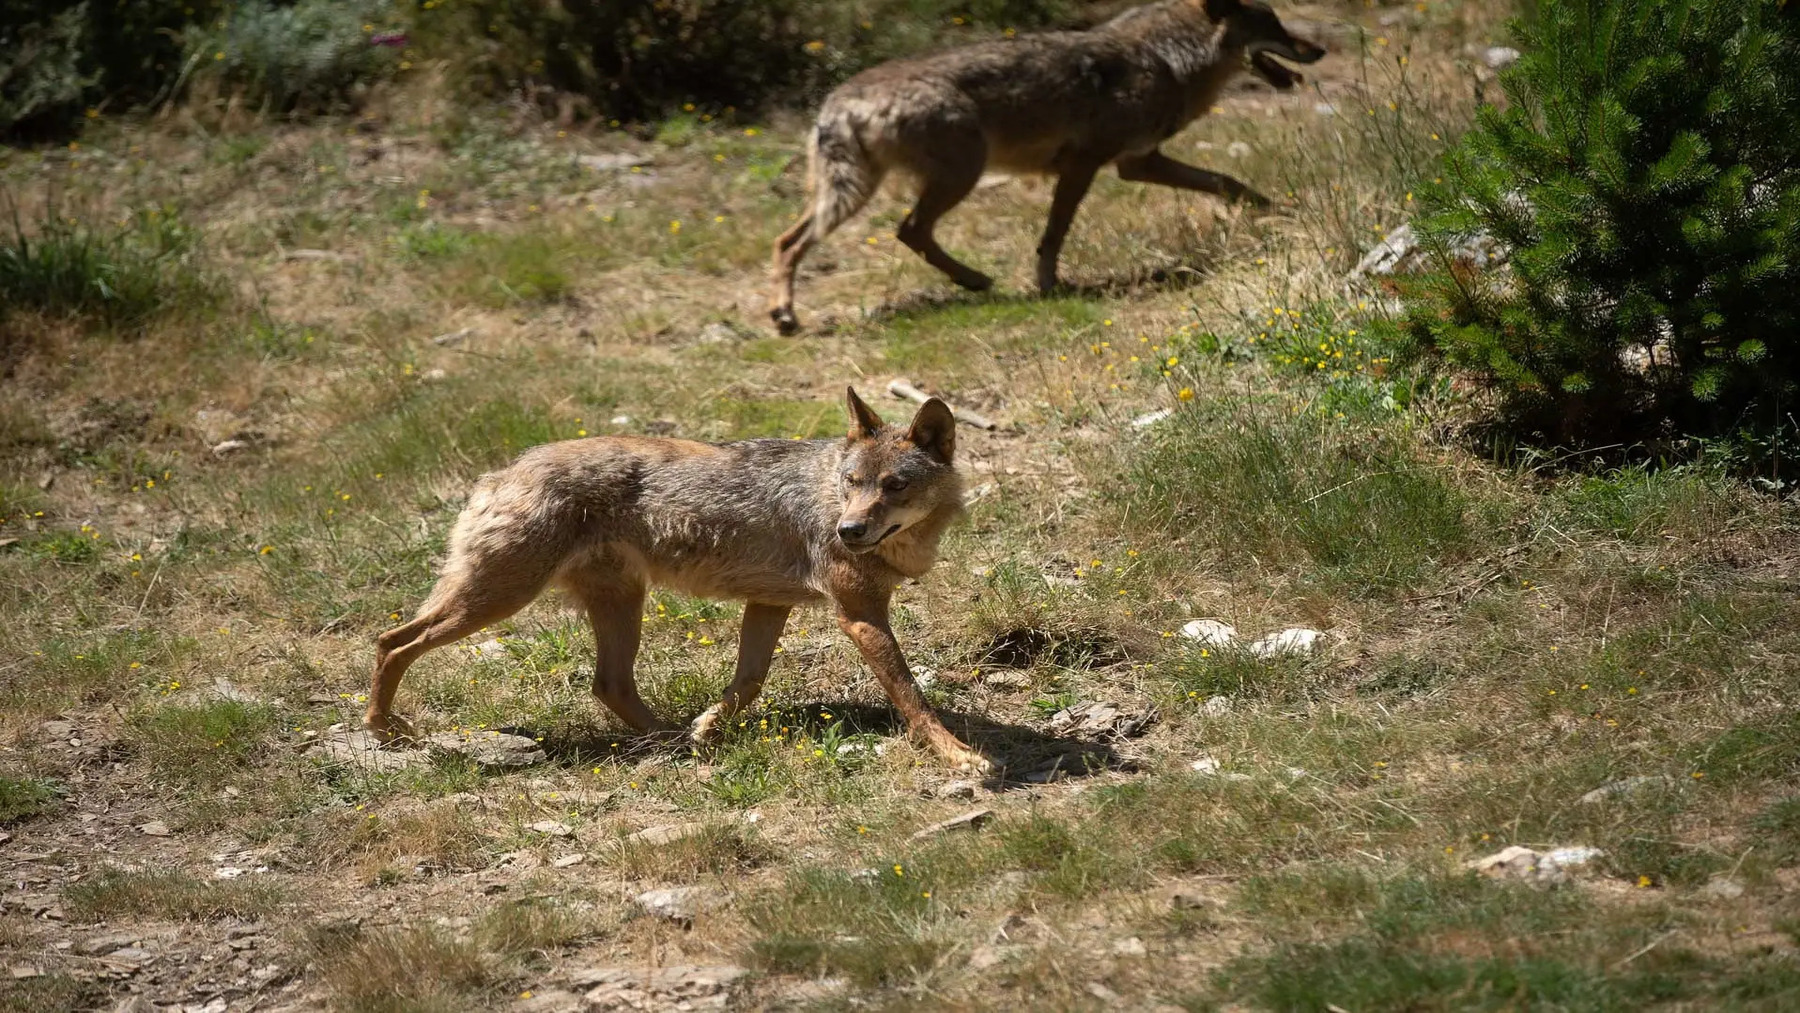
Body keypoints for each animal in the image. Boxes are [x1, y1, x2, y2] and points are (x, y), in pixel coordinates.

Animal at [364, 388, 991, 772]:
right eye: (852, 482)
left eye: (894, 486)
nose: (848, 530)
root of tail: (499, 472)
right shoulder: (858, 616)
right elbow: (912, 696)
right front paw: (961, 758)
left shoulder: (769, 604)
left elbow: (747, 684)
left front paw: (707, 729)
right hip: (498, 601)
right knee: (392, 641)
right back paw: (384, 731)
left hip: (615, 604)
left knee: (608, 684)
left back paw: (671, 743)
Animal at [768, 0, 1325, 333]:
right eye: (1272, 24)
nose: (1317, 48)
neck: (1167, 59)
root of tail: (837, 102)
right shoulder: (1086, 164)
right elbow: (1054, 234)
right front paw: (1048, 286)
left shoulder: (1137, 163)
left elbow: (1228, 182)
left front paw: (1279, 211)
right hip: (954, 176)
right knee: (902, 231)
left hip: (860, 190)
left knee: (793, 239)